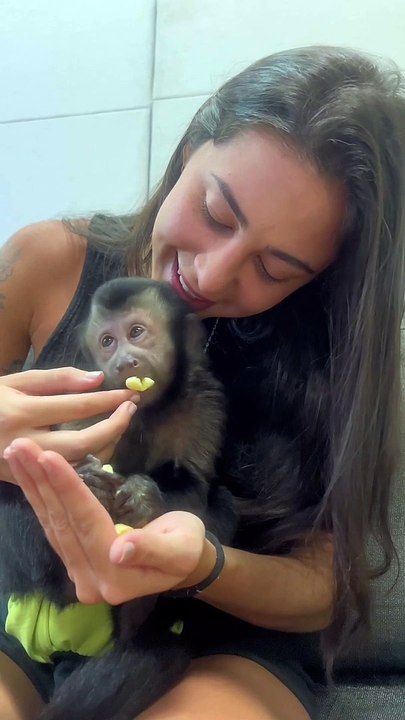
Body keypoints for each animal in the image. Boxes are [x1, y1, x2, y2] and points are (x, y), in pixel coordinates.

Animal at [0, 277, 237, 720]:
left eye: (137, 333)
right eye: (107, 341)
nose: (126, 362)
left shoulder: (201, 403)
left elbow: (193, 485)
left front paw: (144, 498)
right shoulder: (90, 400)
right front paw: (91, 483)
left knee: (225, 501)